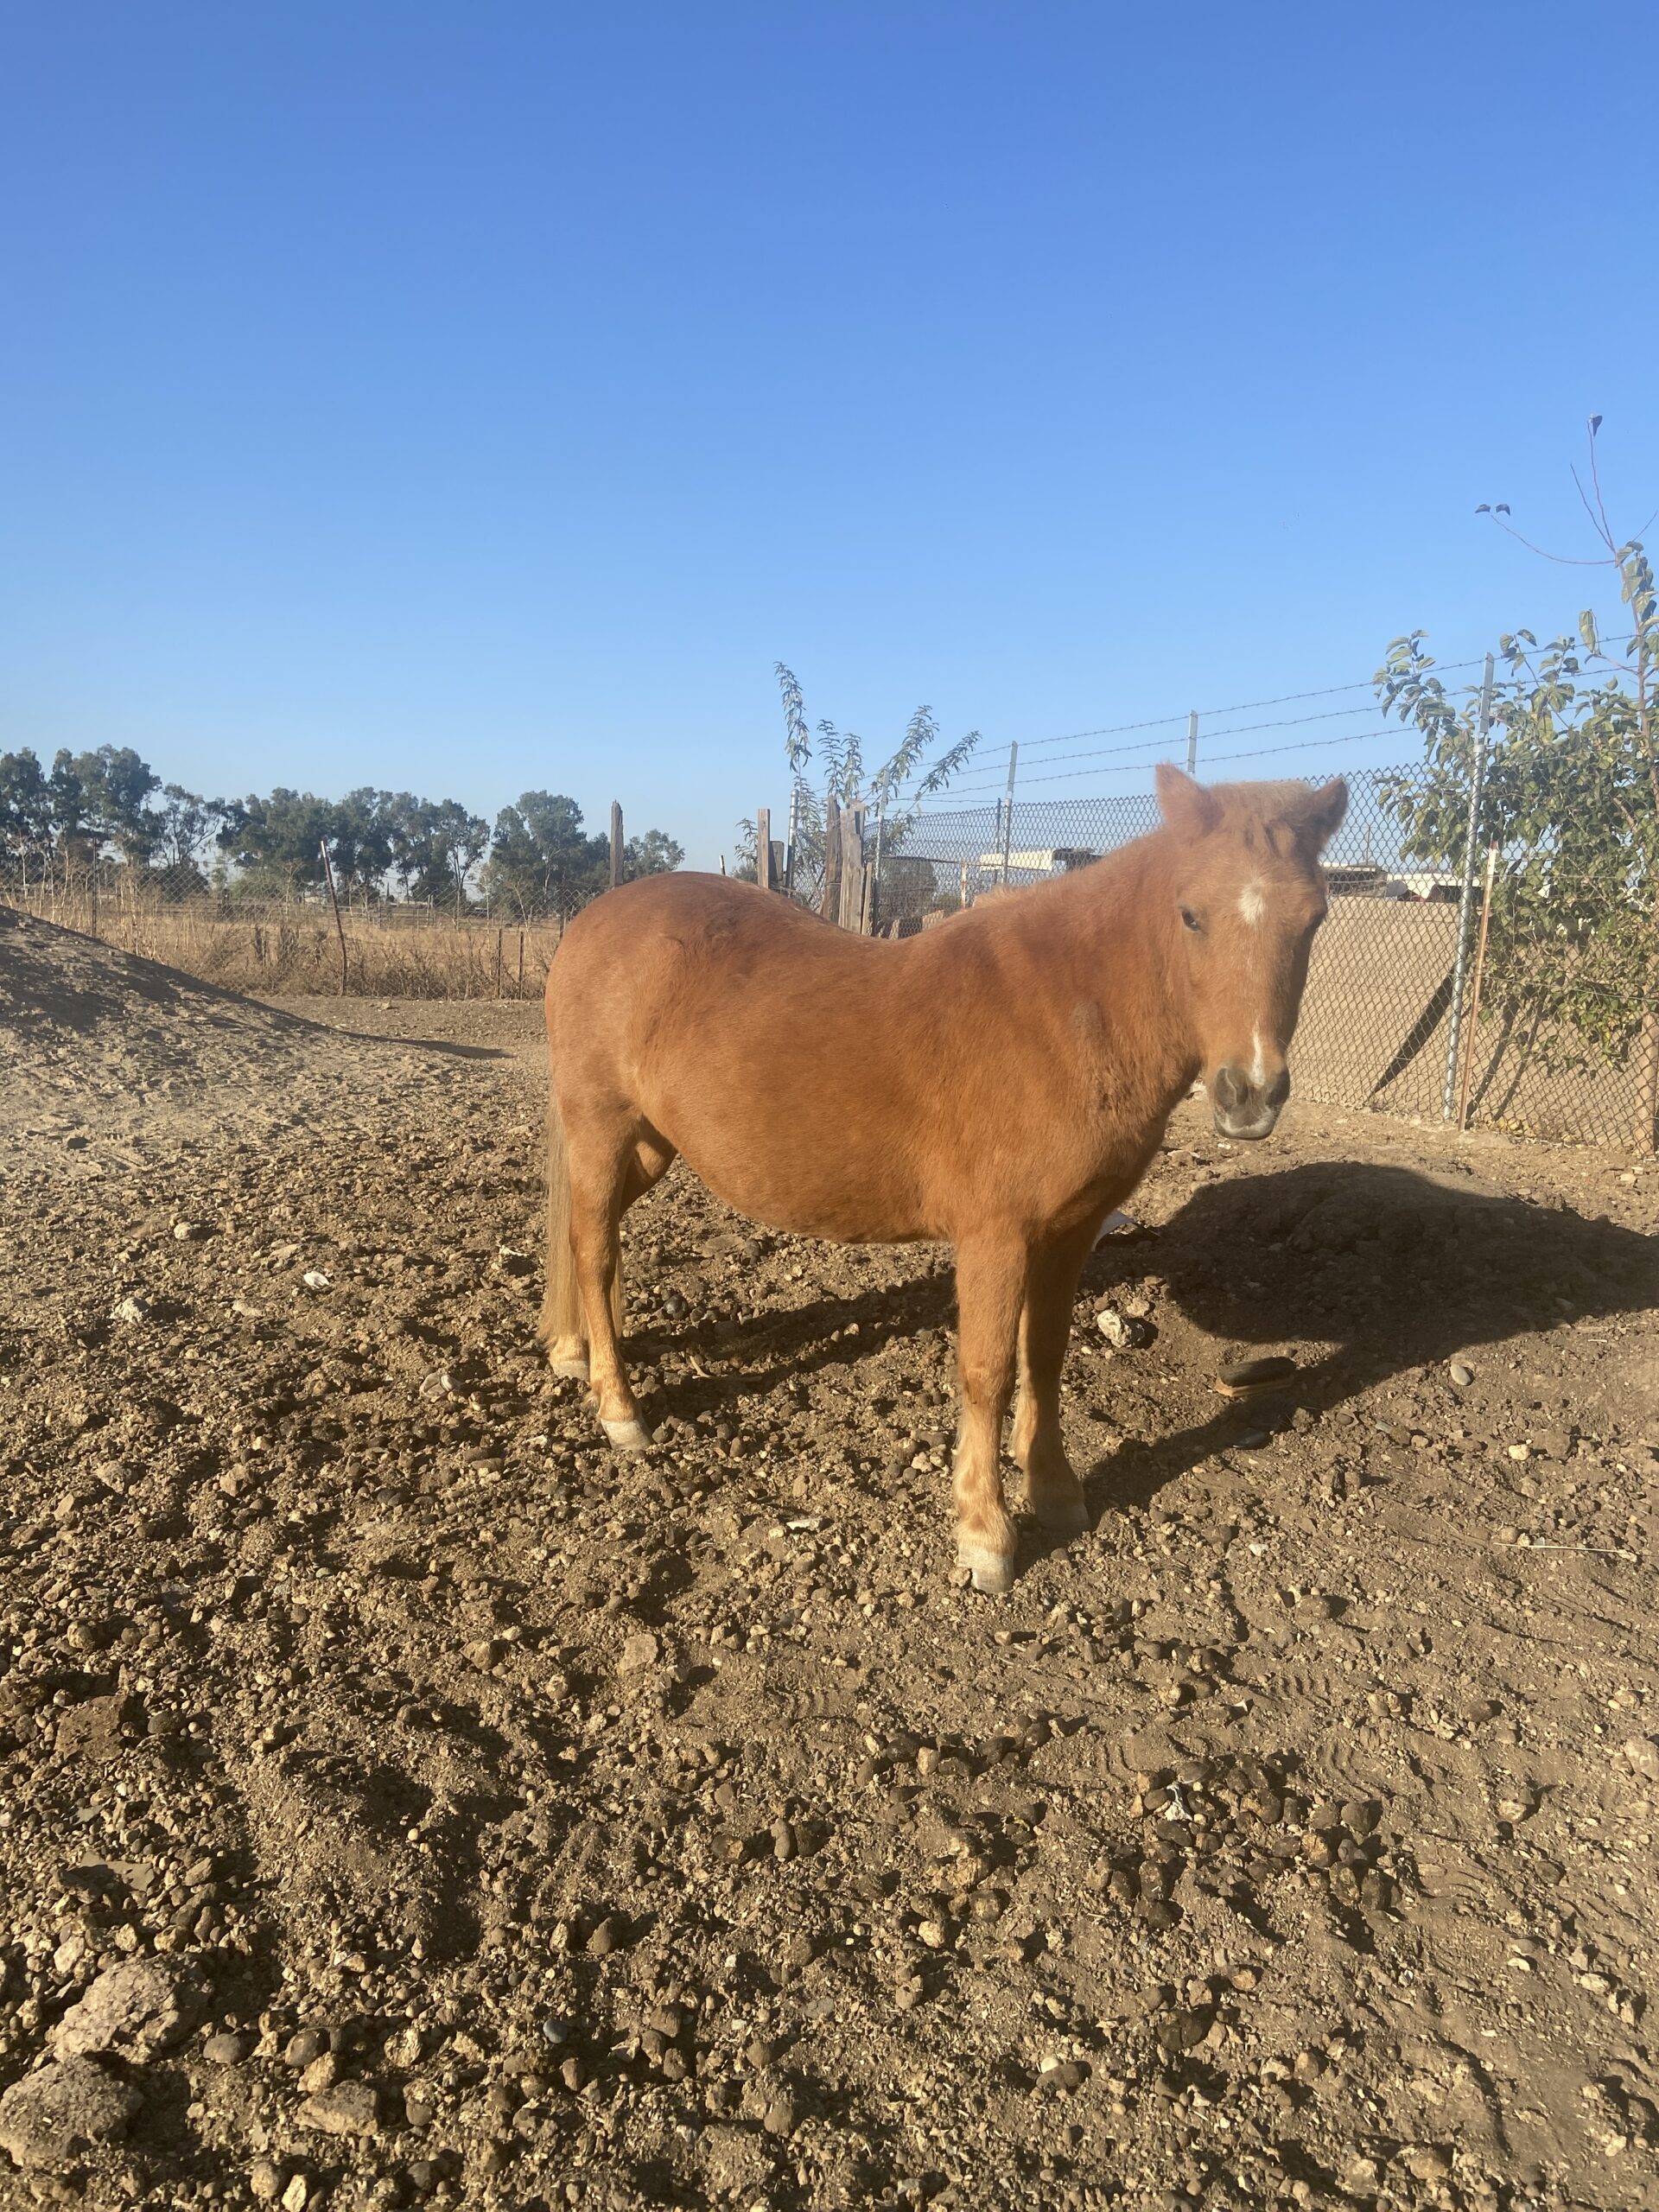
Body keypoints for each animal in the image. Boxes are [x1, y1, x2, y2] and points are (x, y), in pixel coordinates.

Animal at [539, 764, 1346, 1593]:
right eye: (1190, 915)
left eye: (1313, 918)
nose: (1250, 1094)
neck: (1067, 1015)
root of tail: (595, 920)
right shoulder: (996, 1236)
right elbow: (988, 1372)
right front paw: (985, 1535)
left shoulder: (1070, 1234)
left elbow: (1045, 1355)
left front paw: (1056, 1490)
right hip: (602, 1130)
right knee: (596, 1252)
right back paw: (619, 1409)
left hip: (650, 1146)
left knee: (579, 1237)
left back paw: (572, 1353)